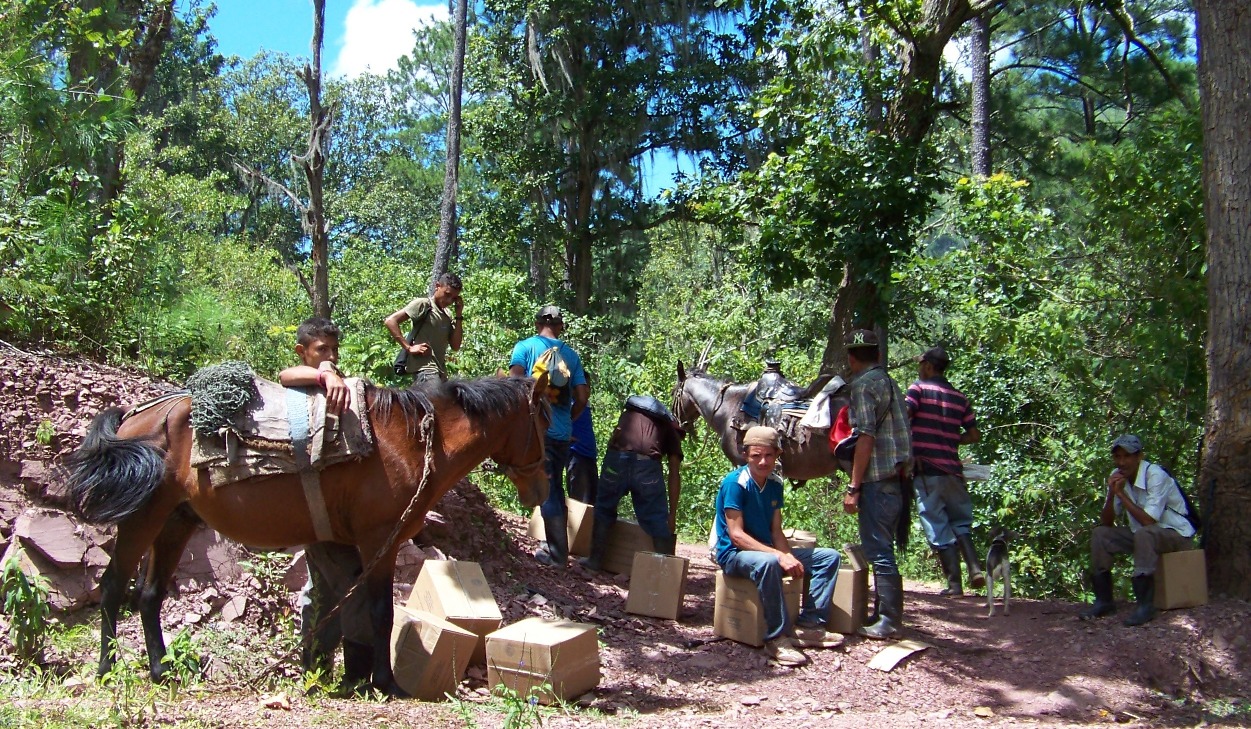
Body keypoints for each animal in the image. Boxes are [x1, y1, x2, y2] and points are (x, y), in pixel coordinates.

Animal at [65, 377, 550, 695]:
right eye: (543, 423)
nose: (543, 489)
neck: (412, 443)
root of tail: (135, 416)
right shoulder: (379, 541)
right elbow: (380, 612)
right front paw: (386, 682)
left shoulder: (345, 544)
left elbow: (338, 610)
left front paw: (348, 676)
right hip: (142, 519)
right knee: (113, 588)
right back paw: (107, 670)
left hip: (175, 521)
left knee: (149, 596)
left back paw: (160, 672)